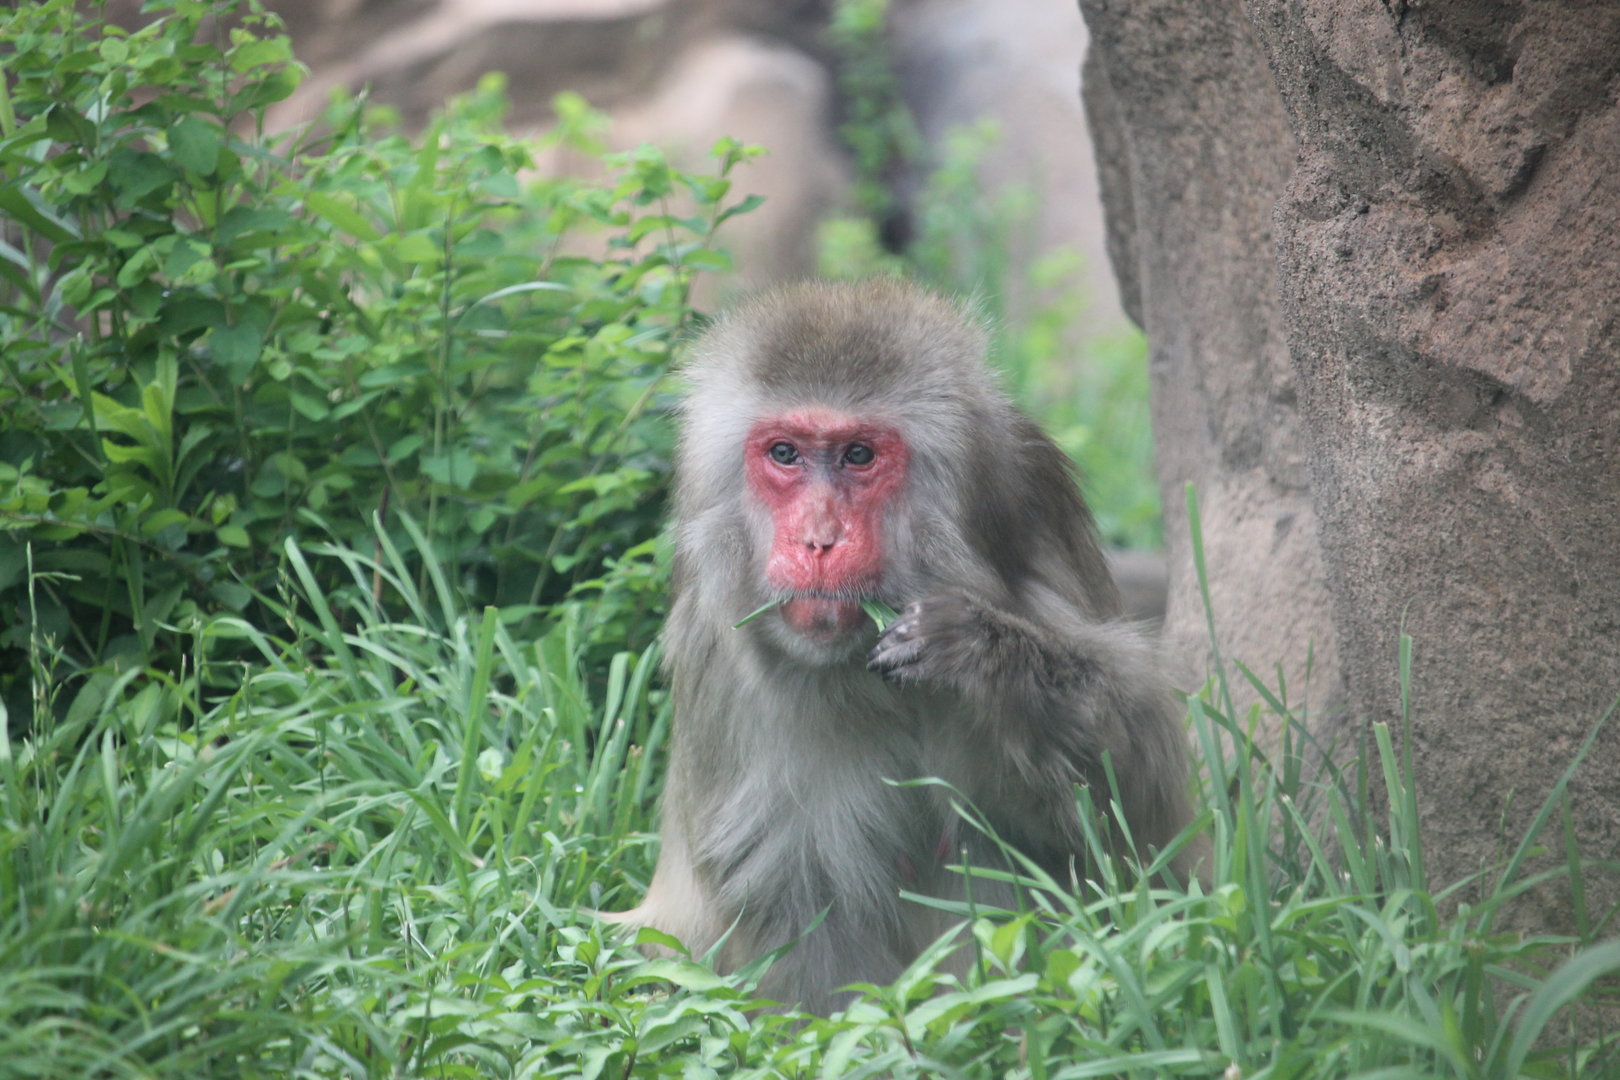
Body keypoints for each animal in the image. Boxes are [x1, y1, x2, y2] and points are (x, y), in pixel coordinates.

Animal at [607, 277, 1200, 1013]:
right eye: (785, 454)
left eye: (859, 455)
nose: (819, 539)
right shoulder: (717, 656)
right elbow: (786, 897)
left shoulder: (1033, 519)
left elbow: (1138, 802)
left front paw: (979, 650)